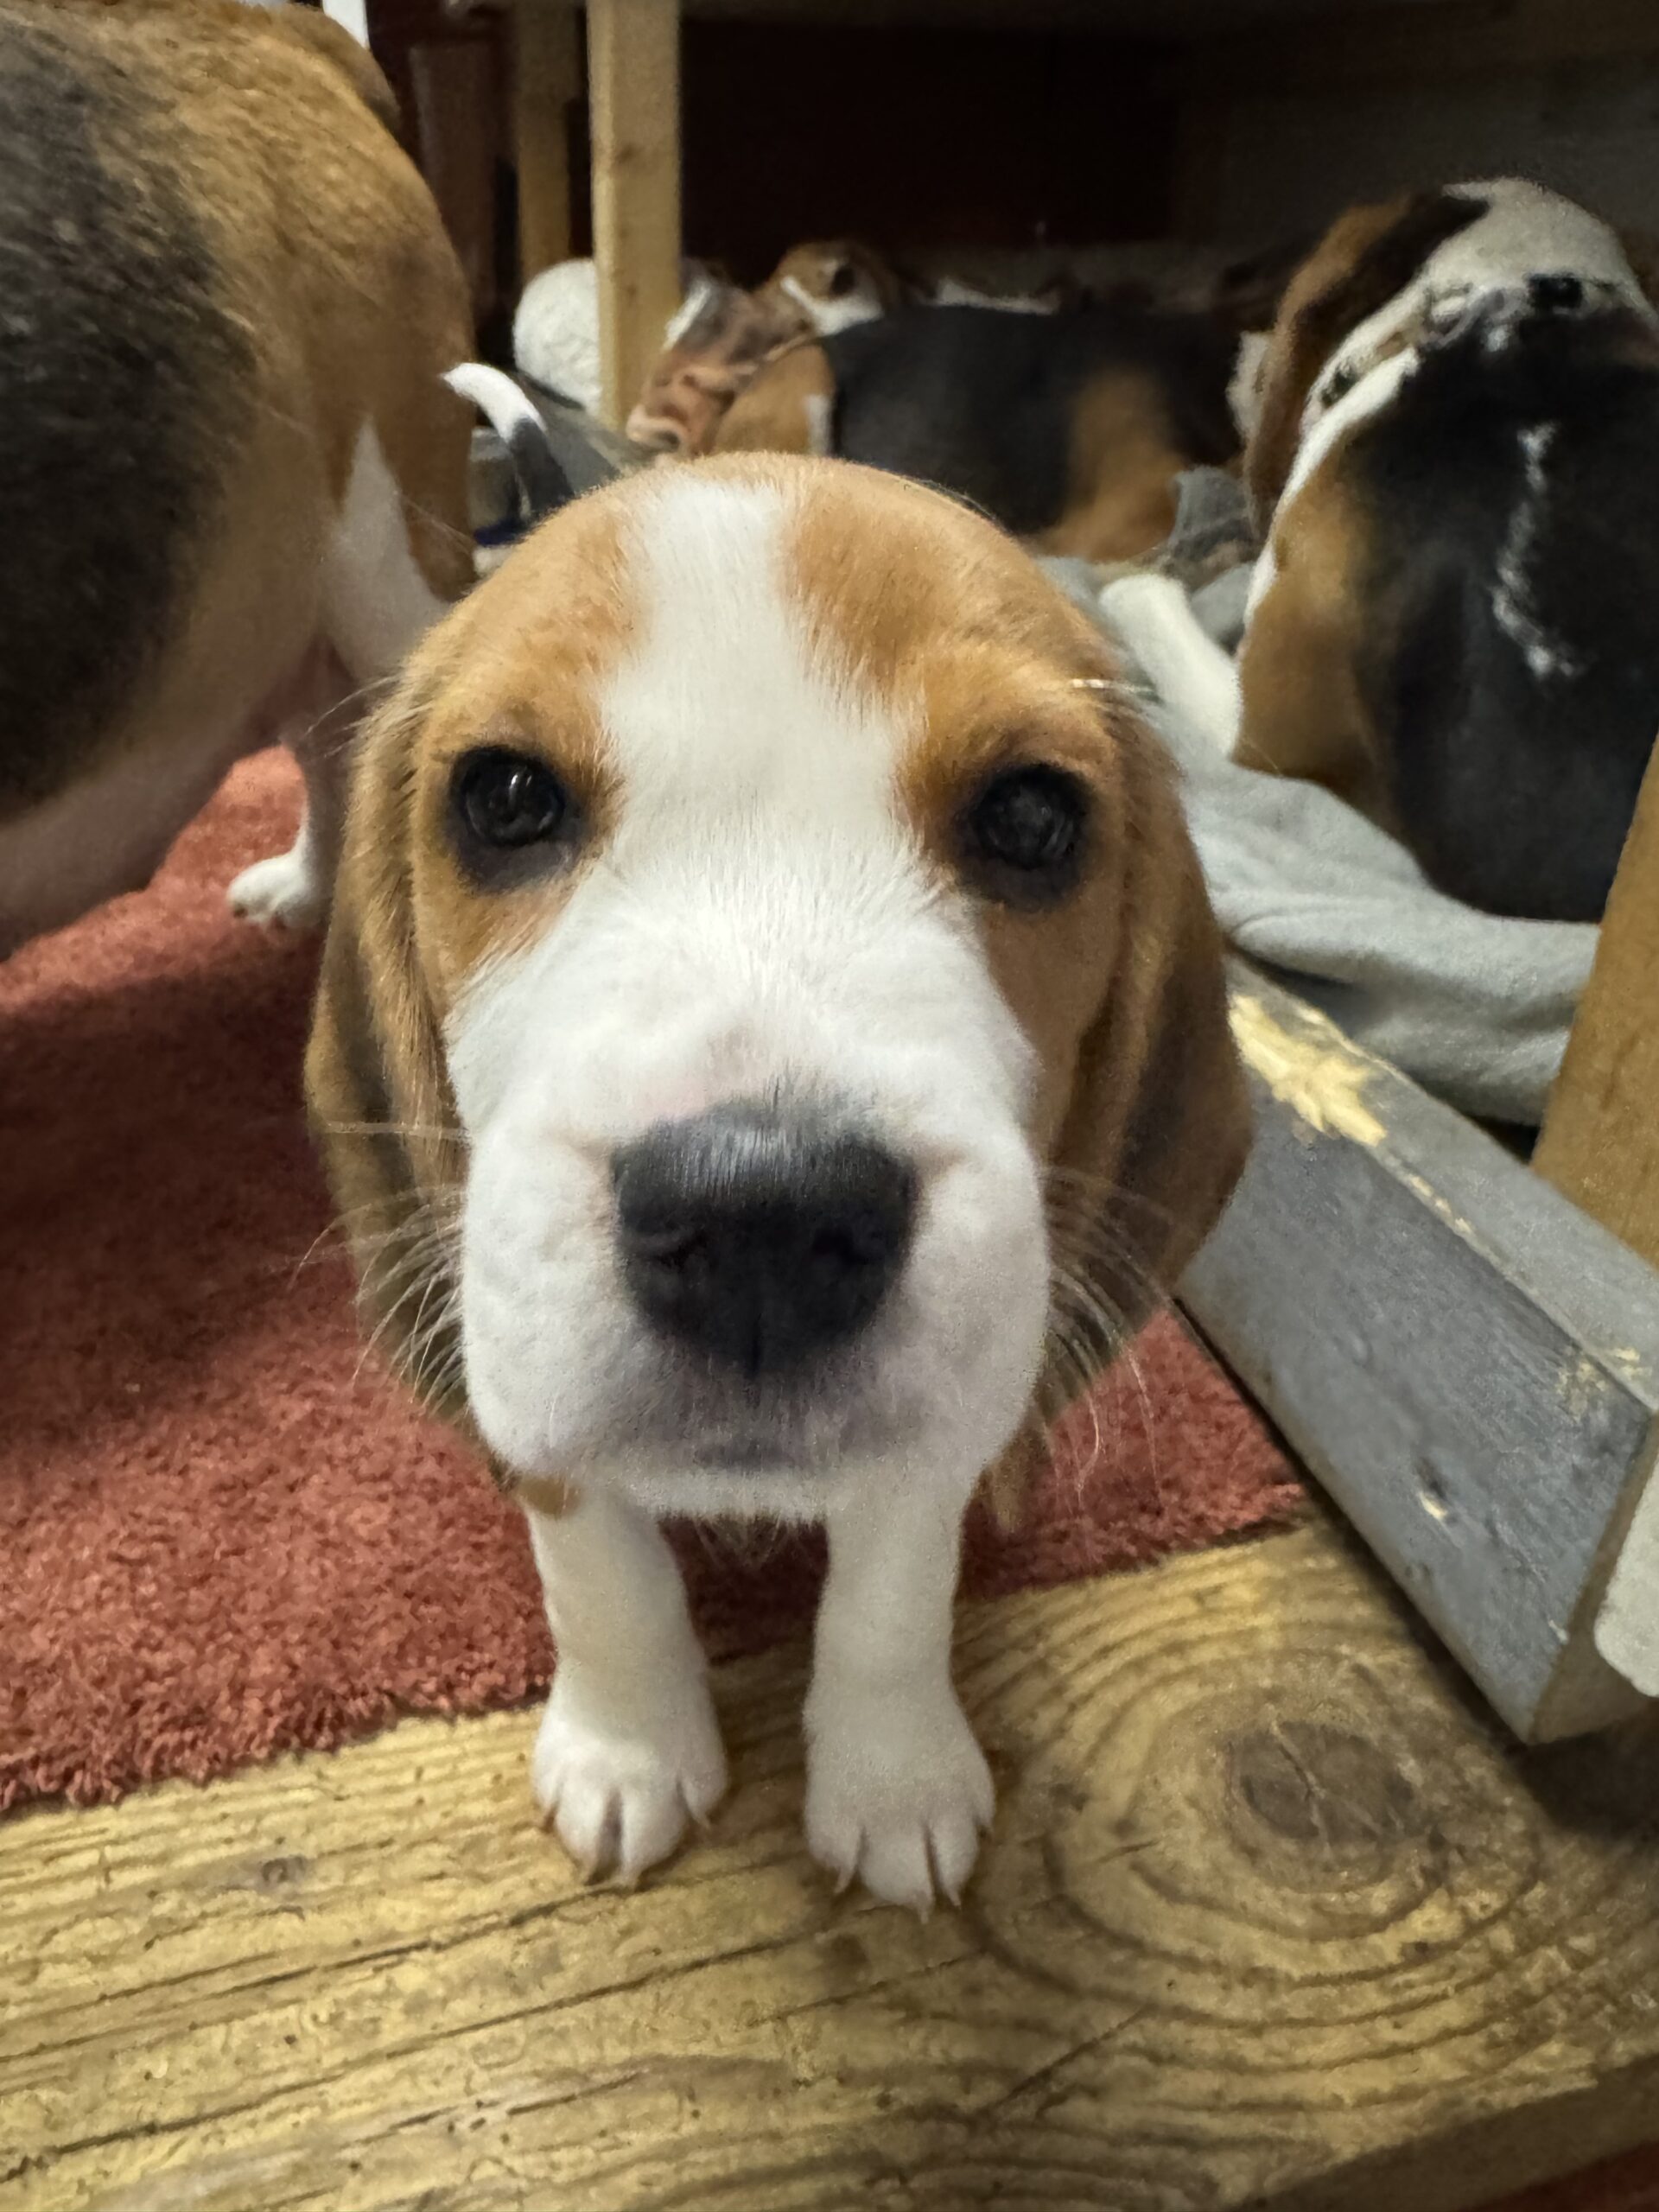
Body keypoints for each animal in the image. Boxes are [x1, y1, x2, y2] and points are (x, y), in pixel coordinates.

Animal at [306, 450, 1249, 1908]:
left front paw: (893, 1778)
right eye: (506, 799)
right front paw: (628, 1751)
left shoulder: (940, 1424)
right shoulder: (535, 1372)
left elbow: (892, 1599)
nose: (760, 1216)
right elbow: (601, 1575)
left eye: (1033, 817)